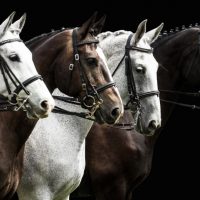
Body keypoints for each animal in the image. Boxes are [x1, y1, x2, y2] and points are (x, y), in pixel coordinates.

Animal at [17, 18, 163, 200]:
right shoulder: (37, 193)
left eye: (156, 68)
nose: (154, 122)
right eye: (140, 69)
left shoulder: (64, 193)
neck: (60, 127)